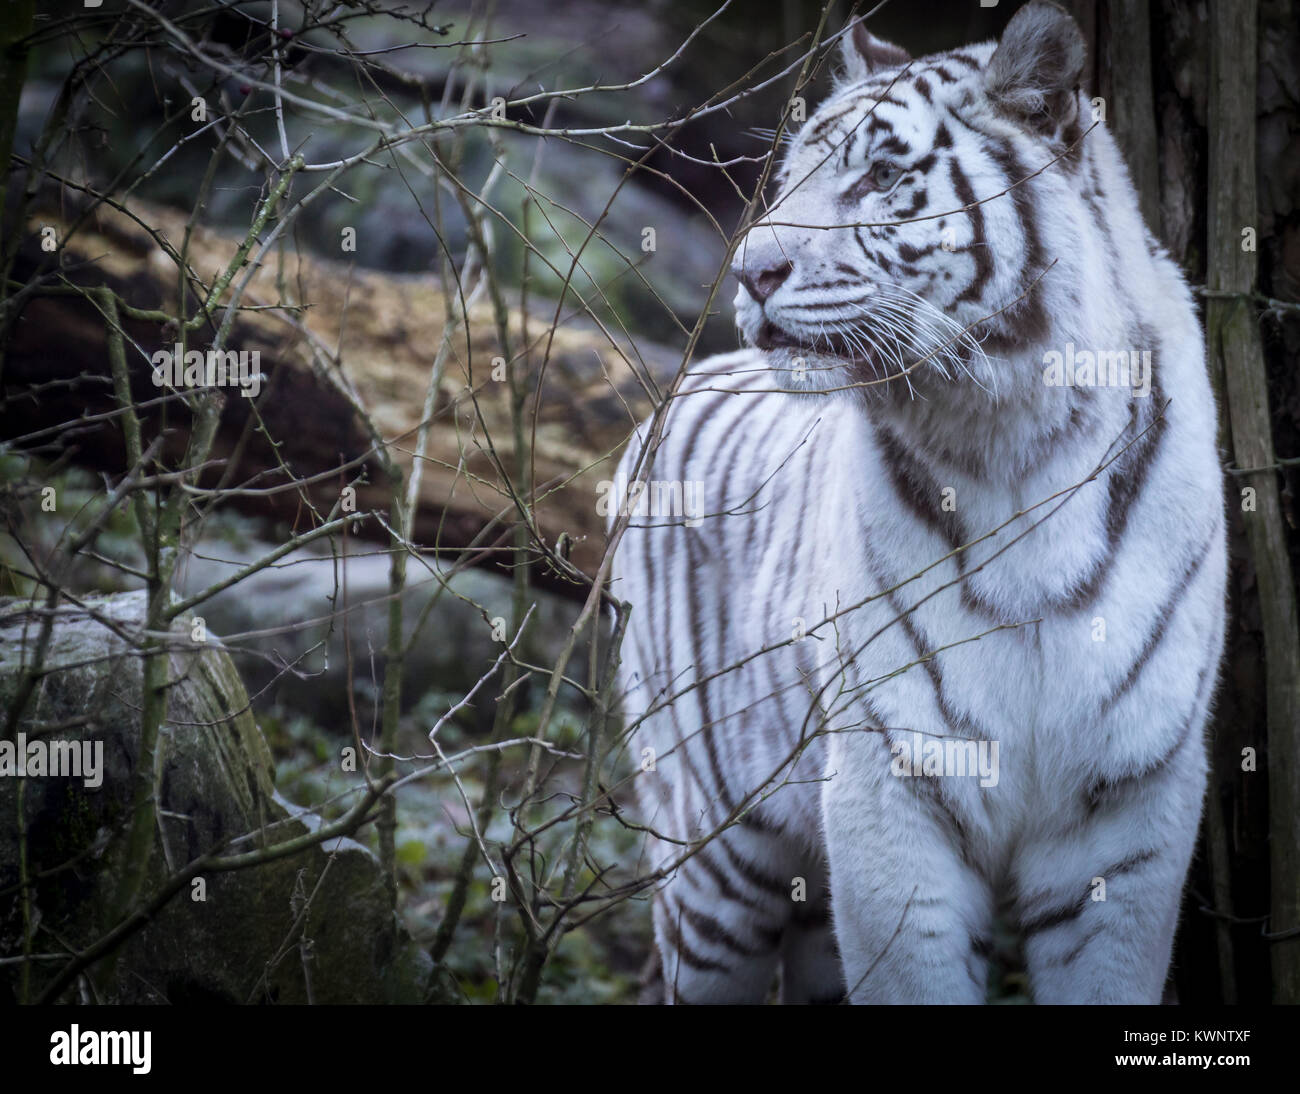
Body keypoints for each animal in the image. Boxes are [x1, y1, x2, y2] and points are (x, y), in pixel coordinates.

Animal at [608, 0, 1227, 1003]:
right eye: (791, 177)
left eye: (882, 175)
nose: (749, 273)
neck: (1014, 439)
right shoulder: (890, 782)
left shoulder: (1131, 805)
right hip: (711, 856)